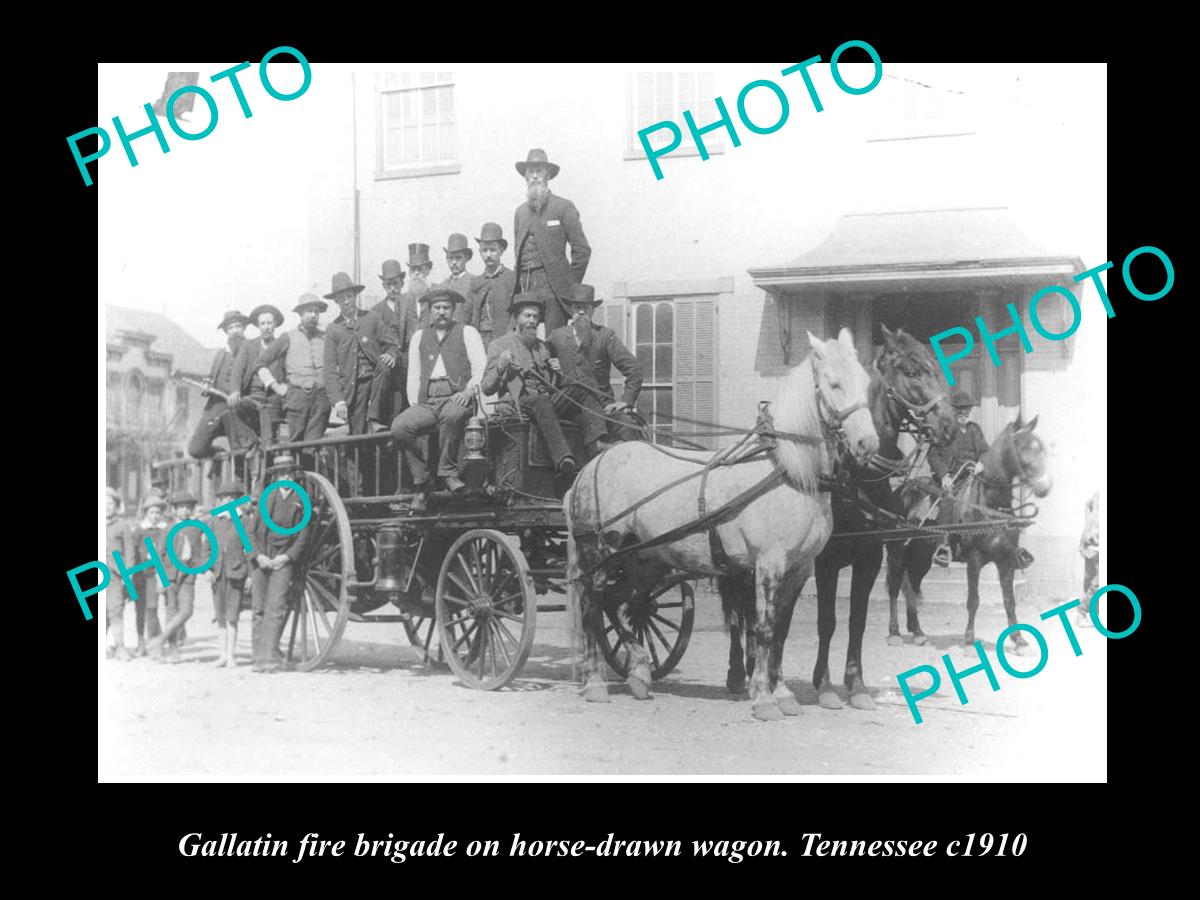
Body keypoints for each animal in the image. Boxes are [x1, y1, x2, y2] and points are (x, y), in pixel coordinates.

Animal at [566, 328, 878, 724]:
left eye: (866, 382)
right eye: (834, 384)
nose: (868, 444)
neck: (789, 472)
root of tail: (594, 464)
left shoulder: (801, 568)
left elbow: (782, 630)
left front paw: (783, 693)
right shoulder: (769, 564)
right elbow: (763, 628)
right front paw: (763, 698)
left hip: (644, 561)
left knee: (620, 604)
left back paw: (638, 672)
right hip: (602, 553)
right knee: (592, 603)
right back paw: (594, 682)